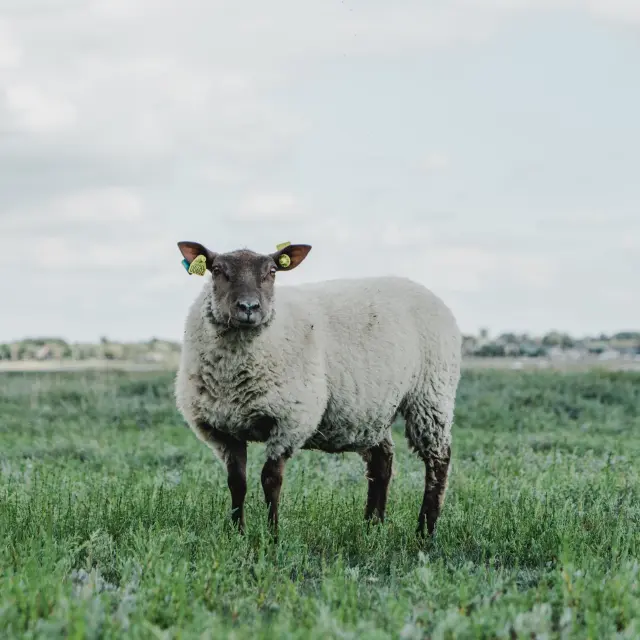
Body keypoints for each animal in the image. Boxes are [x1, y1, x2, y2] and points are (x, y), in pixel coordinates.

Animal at [175, 240, 462, 538]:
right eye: (218, 270)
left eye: (272, 271)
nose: (249, 307)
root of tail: (425, 291)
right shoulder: (222, 430)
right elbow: (237, 482)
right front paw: (238, 533)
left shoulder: (289, 420)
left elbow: (271, 480)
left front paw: (272, 535)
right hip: (372, 410)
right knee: (382, 462)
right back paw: (372, 527)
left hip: (431, 396)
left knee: (438, 462)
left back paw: (425, 530)